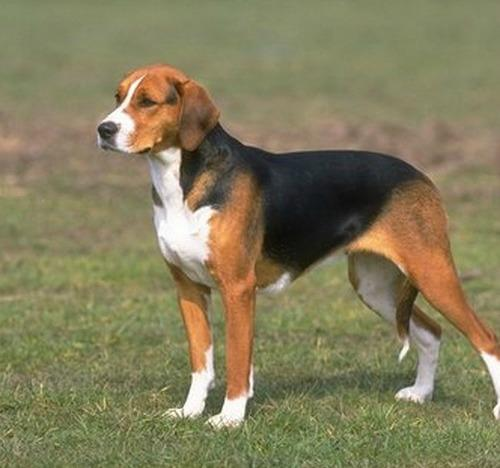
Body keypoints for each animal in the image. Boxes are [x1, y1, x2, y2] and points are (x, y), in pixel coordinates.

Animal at [95, 64, 498, 430]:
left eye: (147, 101)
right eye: (118, 97)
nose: (103, 129)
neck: (183, 180)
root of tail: (421, 175)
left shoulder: (237, 289)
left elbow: (237, 361)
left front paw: (229, 418)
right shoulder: (188, 289)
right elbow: (201, 362)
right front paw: (190, 411)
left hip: (432, 273)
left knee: (487, 339)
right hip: (375, 287)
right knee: (431, 332)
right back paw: (421, 393)